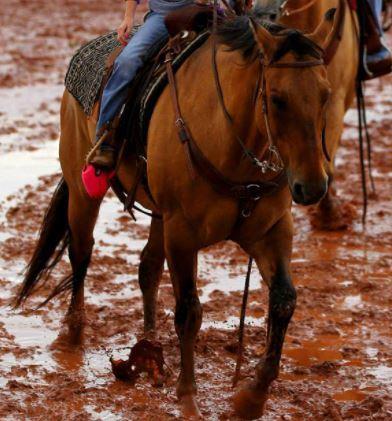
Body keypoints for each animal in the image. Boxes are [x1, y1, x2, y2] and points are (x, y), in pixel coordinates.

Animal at [16, 9, 336, 416]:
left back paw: (150, 342)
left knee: (148, 267)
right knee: (81, 252)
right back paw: (73, 332)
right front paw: (188, 397)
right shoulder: (183, 235)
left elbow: (283, 301)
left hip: (158, 215)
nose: (313, 187)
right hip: (82, 188)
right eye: (277, 99)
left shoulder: (273, 230)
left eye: (326, 95)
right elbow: (189, 311)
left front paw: (251, 398)